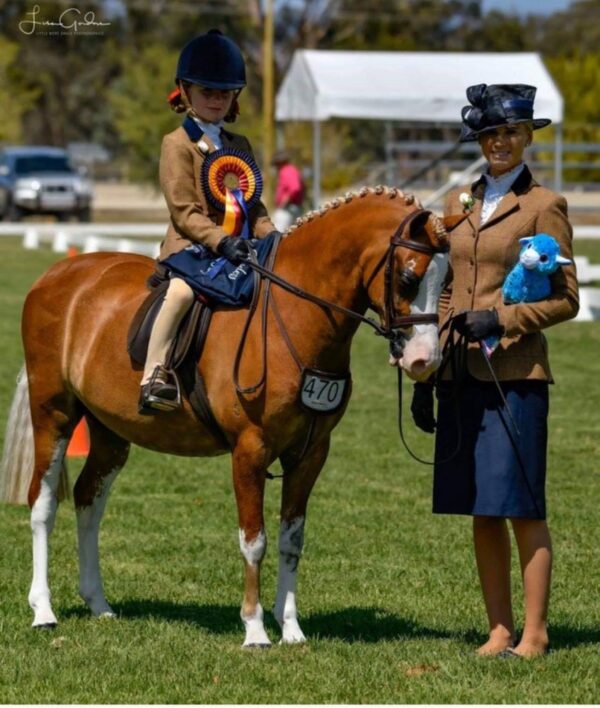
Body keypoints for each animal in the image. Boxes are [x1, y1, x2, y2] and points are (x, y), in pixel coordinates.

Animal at [2, 187, 448, 648]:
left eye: (447, 281)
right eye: (409, 278)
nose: (425, 360)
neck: (294, 312)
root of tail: (57, 274)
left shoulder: (310, 453)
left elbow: (291, 540)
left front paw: (291, 629)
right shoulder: (249, 449)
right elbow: (254, 541)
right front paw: (254, 630)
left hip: (108, 430)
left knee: (89, 500)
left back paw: (99, 604)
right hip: (53, 413)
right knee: (43, 502)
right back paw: (44, 611)